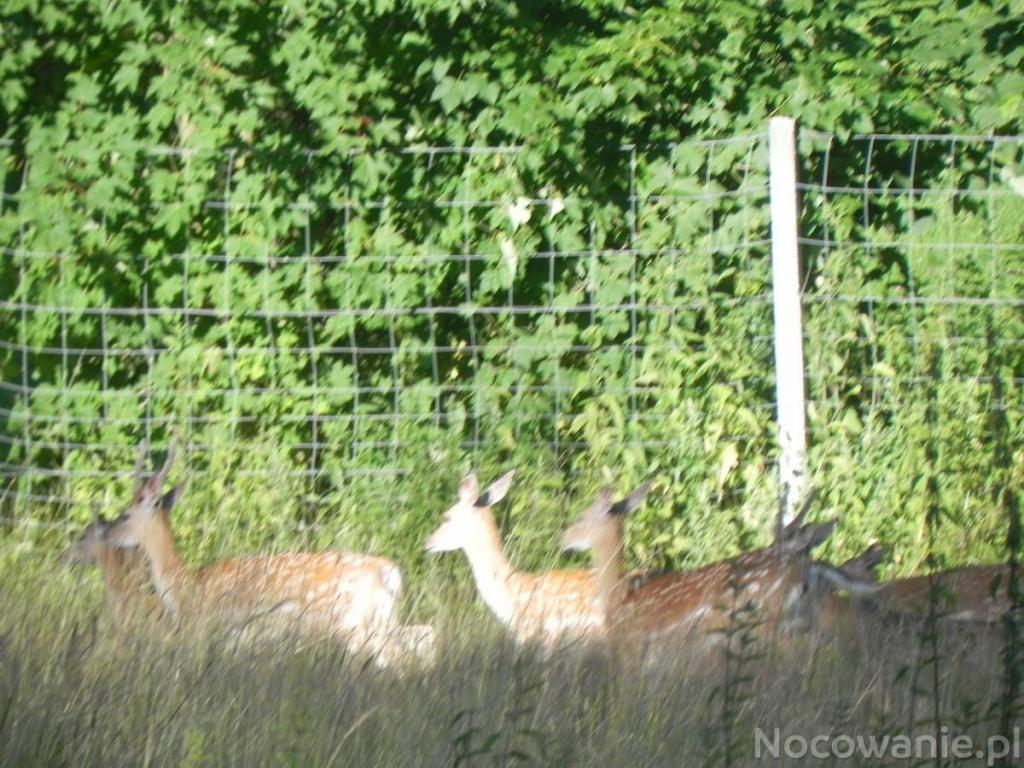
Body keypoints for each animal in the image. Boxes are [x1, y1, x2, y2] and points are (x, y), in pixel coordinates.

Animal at [105, 444, 434, 667]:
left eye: (125, 515)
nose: (107, 533)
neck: (186, 587)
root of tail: (390, 572)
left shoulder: (212, 628)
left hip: (353, 623)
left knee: (398, 658)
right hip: (384, 620)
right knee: (425, 637)